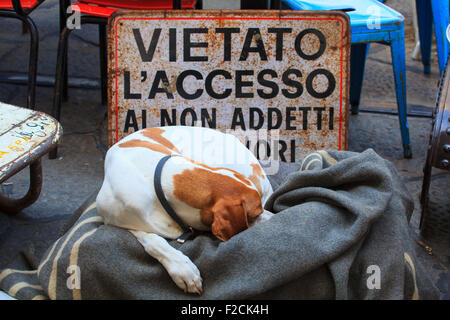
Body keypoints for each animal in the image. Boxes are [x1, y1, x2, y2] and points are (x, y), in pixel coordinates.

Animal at [97, 125, 274, 296]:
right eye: (256, 213)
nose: (275, 215)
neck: (156, 177)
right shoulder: (118, 218)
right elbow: (153, 241)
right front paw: (183, 270)